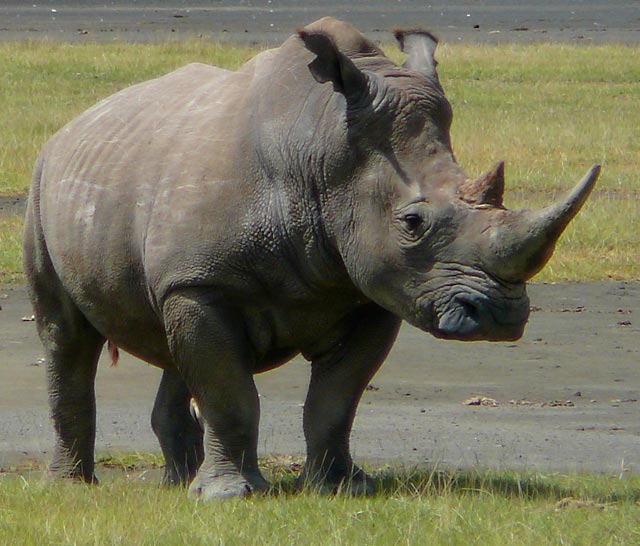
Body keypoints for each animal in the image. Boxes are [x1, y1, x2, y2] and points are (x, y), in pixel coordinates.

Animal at [23, 17, 600, 499]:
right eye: (412, 223)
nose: (499, 317)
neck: (321, 152)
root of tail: (72, 126)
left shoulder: (370, 291)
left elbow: (335, 400)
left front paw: (343, 487)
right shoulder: (204, 282)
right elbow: (229, 393)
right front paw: (230, 497)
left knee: (171, 340)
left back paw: (177, 482)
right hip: (42, 183)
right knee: (66, 337)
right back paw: (74, 486)